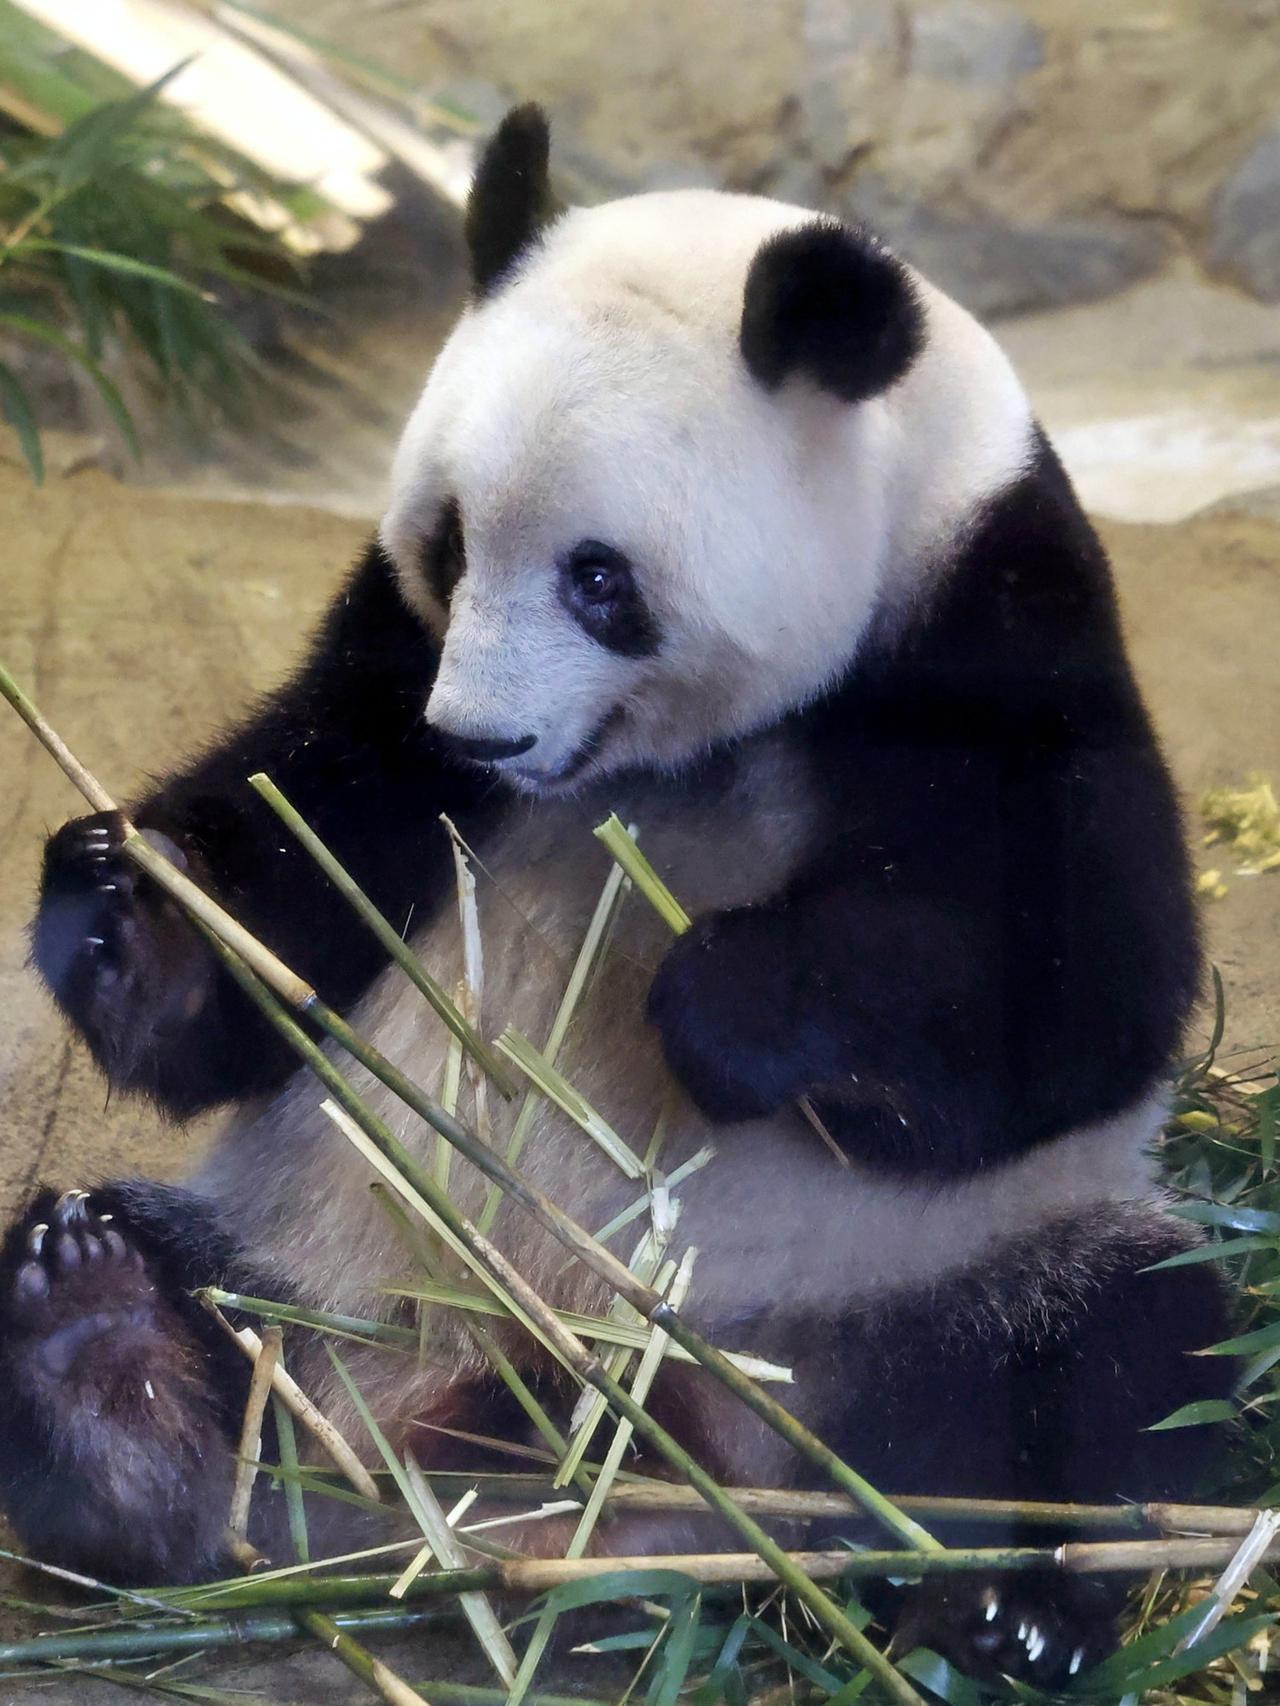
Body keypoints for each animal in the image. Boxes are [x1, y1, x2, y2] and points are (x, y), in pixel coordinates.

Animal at [1, 105, 1233, 1685]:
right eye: (452, 543)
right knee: (188, 1309)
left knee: (1113, 1355)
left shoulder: (996, 625)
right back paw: (110, 1374)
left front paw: (732, 1002)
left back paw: (1005, 1608)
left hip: (919, 1279)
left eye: (601, 579)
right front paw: (125, 910)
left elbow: (1084, 991)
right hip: (325, 1280)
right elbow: (298, 874)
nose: (477, 737)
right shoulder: (386, 658)